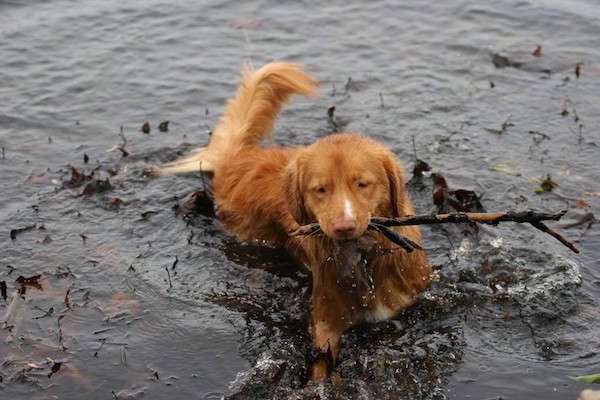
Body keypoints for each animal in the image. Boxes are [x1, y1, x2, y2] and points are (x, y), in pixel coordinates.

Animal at [157, 62, 432, 382]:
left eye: (362, 184)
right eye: (320, 189)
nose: (344, 227)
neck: (365, 260)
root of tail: (242, 157)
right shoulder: (326, 322)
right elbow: (319, 366)